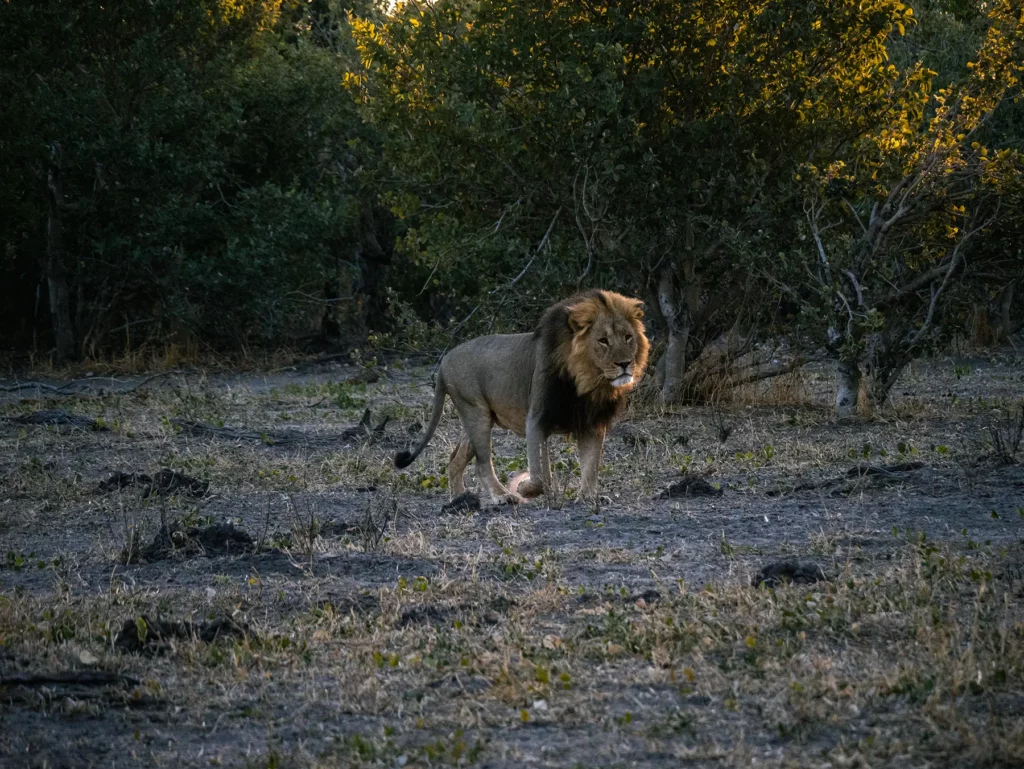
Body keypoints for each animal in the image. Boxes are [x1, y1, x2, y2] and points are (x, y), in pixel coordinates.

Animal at [394, 289, 649, 506]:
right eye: (603, 341)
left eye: (628, 337)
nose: (625, 364)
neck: (587, 383)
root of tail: (445, 361)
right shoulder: (536, 418)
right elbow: (542, 476)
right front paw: (524, 488)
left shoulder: (591, 422)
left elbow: (590, 465)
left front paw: (589, 498)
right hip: (475, 411)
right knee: (481, 463)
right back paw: (502, 496)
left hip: (476, 416)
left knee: (455, 459)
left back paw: (458, 499)